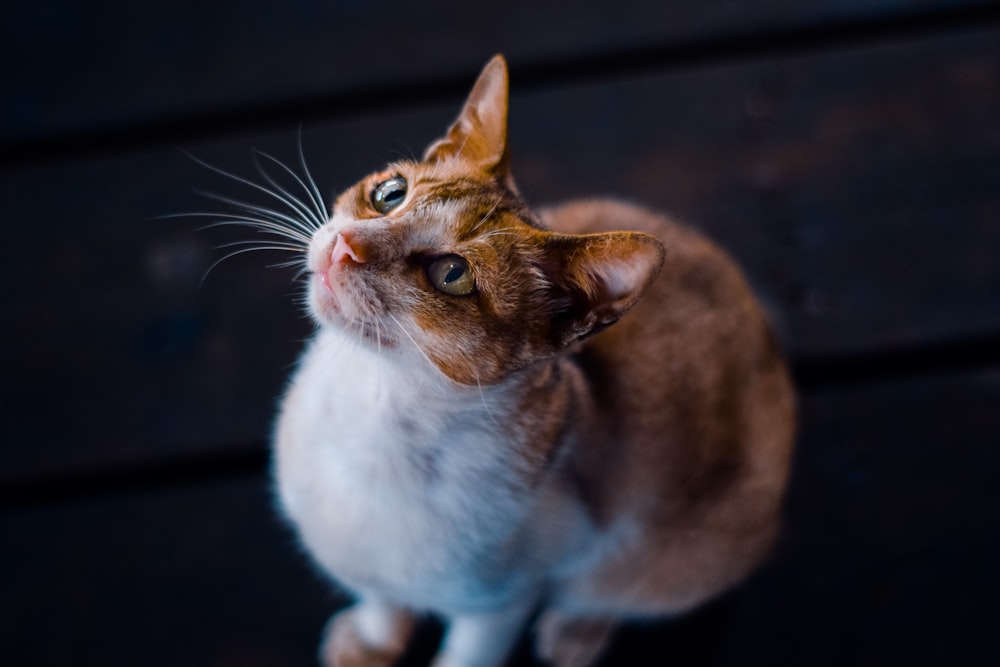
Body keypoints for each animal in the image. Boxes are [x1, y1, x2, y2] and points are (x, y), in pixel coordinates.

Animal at [270, 53, 792, 667]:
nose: (344, 246)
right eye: (390, 194)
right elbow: (378, 593)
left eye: (452, 274)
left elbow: (467, 654)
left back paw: (574, 632)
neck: (372, 407)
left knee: (616, 591)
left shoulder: (502, 604)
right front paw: (373, 639)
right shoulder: (360, 557)